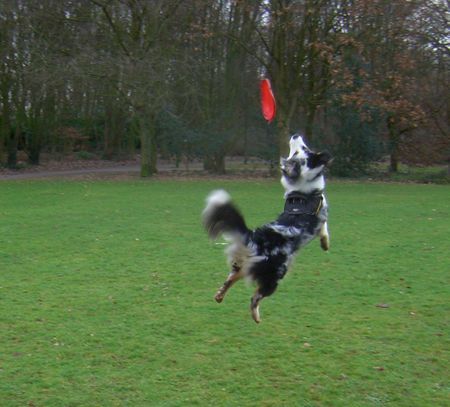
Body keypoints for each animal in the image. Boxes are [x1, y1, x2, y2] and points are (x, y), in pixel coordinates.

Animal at [202, 135, 332, 324]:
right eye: (302, 150)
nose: (295, 135)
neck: (302, 192)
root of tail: (253, 238)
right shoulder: (322, 216)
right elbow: (325, 229)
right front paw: (325, 244)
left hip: (242, 266)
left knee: (230, 280)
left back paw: (220, 295)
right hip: (275, 275)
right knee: (255, 297)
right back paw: (256, 317)